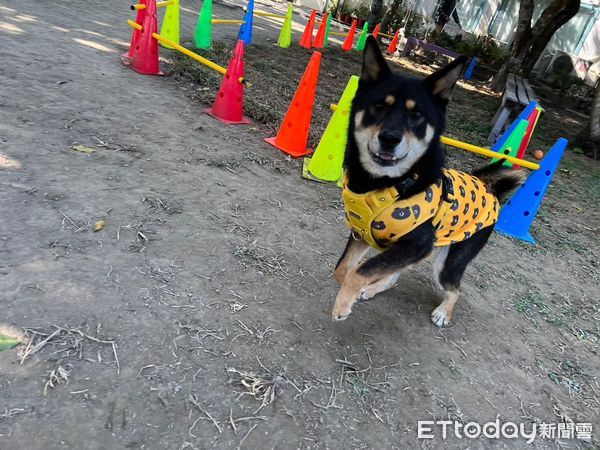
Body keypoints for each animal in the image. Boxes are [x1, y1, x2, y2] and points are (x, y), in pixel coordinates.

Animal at [332, 37, 524, 326]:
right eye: (379, 106)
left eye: (417, 115)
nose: (389, 138)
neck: (386, 182)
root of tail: (490, 189)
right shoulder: (363, 234)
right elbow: (344, 268)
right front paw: (351, 292)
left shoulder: (418, 244)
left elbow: (361, 270)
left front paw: (343, 304)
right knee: (396, 275)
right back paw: (375, 287)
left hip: (448, 263)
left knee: (456, 289)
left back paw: (443, 312)